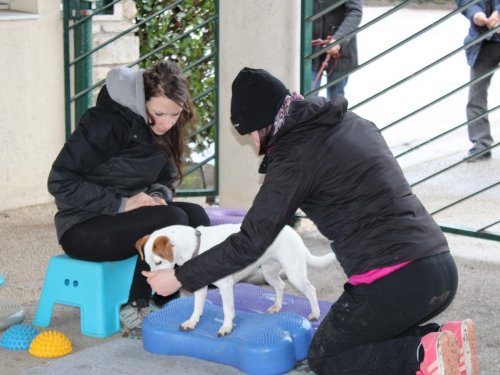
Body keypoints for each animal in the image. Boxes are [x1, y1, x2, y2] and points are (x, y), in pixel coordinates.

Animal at [135, 223, 334, 338]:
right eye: (148, 263)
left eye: (159, 262)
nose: (152, 285)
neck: (197, 246)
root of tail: (293, 232)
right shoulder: (199, 284)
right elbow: (197, 307)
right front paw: (192, 321)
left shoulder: (225, 286)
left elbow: (227, 309)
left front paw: (227, 327)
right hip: (269, 272)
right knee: (280, 286)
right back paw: (276, 306)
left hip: (295, 274)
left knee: (310, 290)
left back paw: (315, 313)